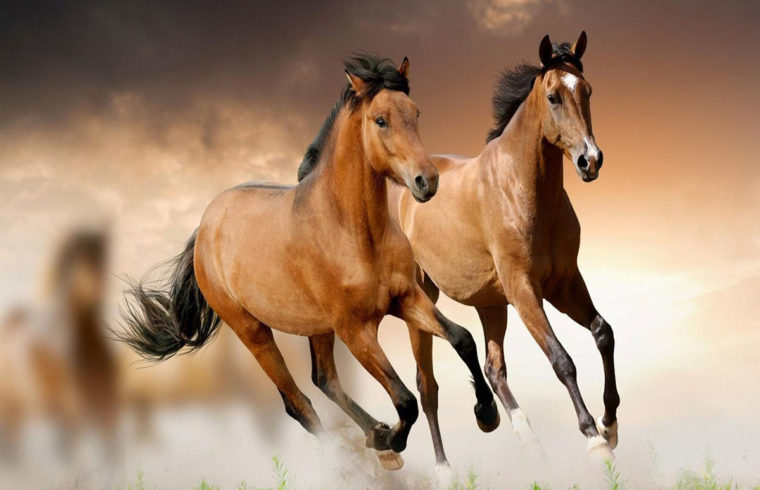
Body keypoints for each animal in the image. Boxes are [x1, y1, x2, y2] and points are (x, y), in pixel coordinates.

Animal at [119, 55, 498, 471]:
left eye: (416, 113)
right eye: (380, 120)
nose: (426, 181)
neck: (354, 230)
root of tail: (204, 227)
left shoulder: (406, 298)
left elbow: (462, 340)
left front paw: (486, 414)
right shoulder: (356, 330)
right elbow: (405, 400)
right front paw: (390, 440)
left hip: (317, 326)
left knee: (324, 379)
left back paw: (375, 438)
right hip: (253, 331)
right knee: (298, 403)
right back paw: (365, 454)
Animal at [390, 32, 619, 465]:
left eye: (588, 90)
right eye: (553, 97)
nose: (591, 160)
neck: (522, 189)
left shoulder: (565, 283)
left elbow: (603, 333)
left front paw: (610, 423)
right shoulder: (524, 289)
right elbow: (561, 359)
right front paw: (593, 436)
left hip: (490, 304)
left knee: (493, 368)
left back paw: (519, 432)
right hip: (422, 301)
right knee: (427, 387)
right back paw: (445, 468)